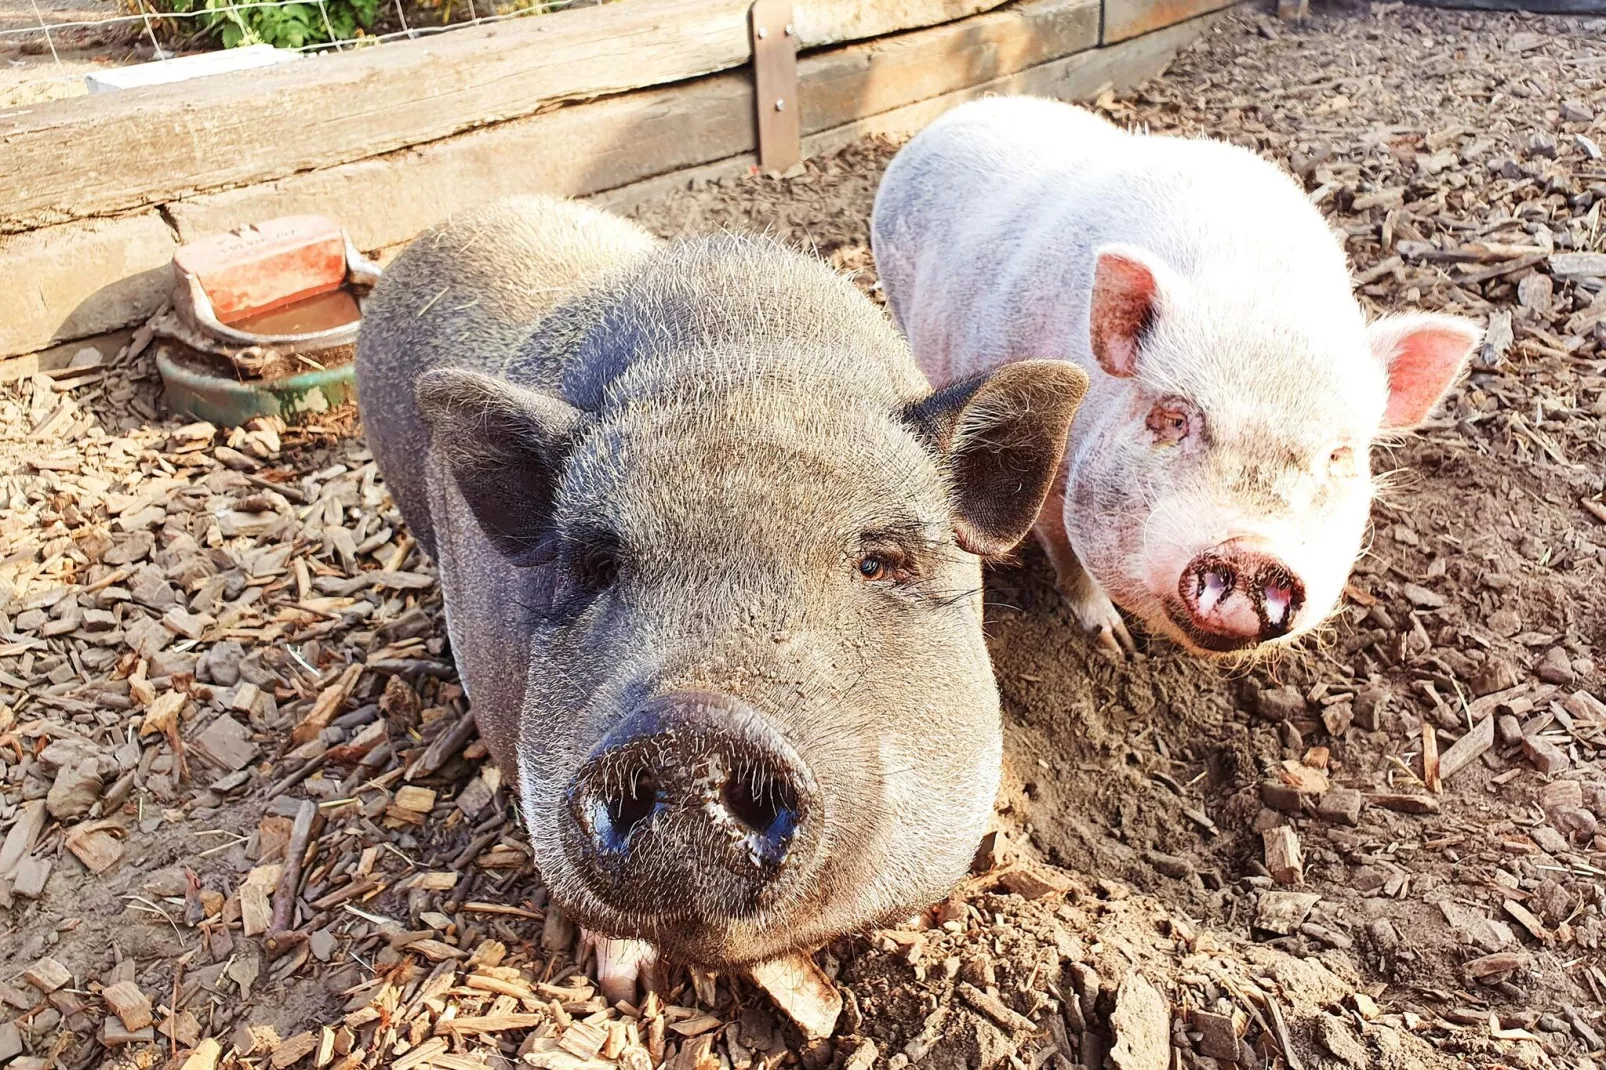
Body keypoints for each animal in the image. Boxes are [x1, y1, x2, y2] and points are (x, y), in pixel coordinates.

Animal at [873, 100, 1483, 655]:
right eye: (1171, 418)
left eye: (1340, 457)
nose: (1250, 554)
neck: (1259, 292)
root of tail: (949, 118)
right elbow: (1068, 556)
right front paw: (1117, 646)